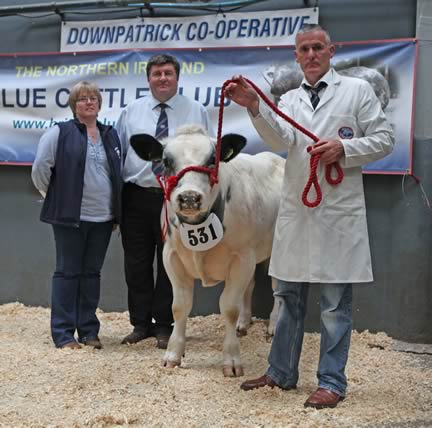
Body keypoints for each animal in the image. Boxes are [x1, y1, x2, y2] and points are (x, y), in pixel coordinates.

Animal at [130, 125, 286, 376]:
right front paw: (173, 354)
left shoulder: (241, 258)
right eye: (166, 161)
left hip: (276, 249)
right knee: (250, 286)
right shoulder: (171, 257)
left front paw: (231, 360)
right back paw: (244, 323)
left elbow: (229, 307)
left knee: (277, 289)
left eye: (213, 159)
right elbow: (179, 306)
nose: (189, 197)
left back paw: (273, 326)